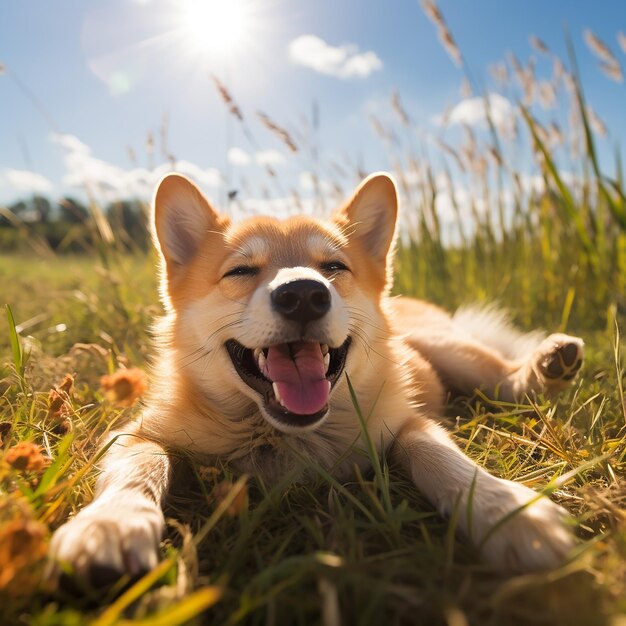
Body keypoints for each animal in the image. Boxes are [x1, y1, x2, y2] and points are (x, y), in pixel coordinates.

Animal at [50, 172, 584, 584]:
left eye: (333, 266)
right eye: (240, 271)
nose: (304, 294)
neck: (281, 438)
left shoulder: (407, 423)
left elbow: (438, 456)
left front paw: (504, 511)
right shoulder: (134, 433)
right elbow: (140, 468)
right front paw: (113, 522)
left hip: (449, 350)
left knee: (505, 376)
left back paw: (546, 364)